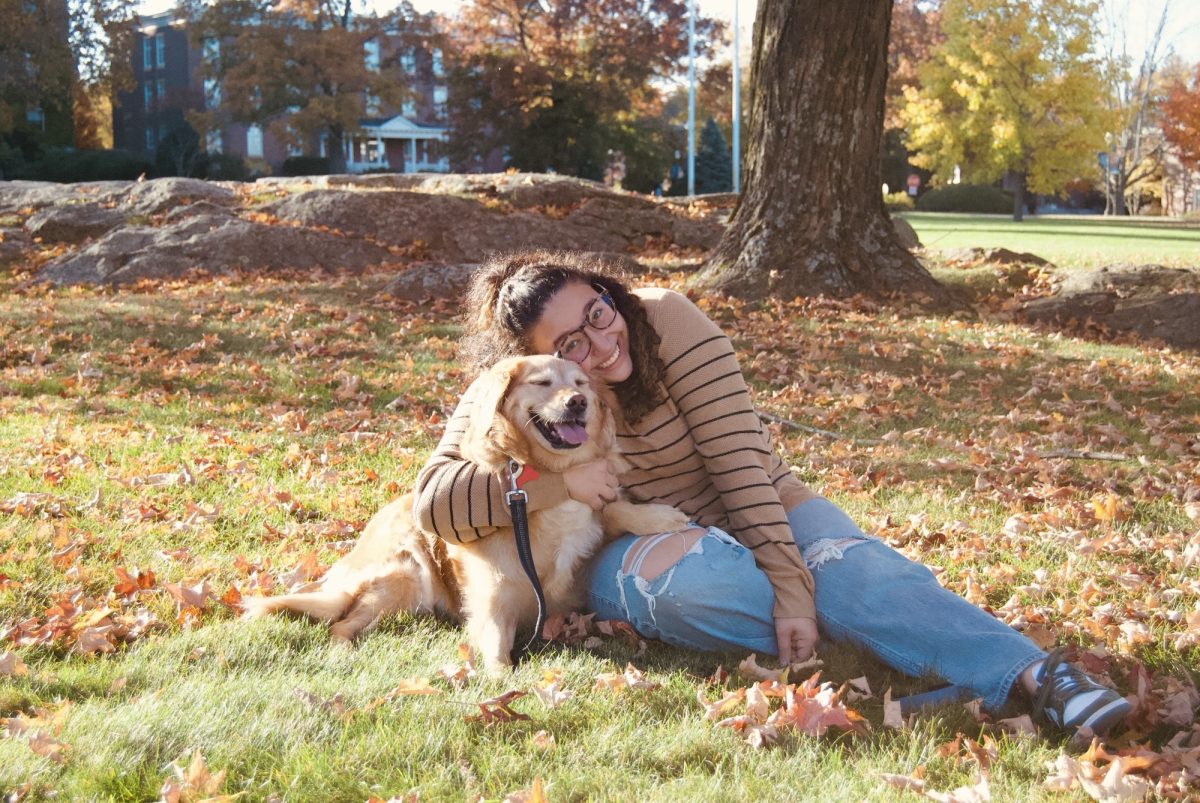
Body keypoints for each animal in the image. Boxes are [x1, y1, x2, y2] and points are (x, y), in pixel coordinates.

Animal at [243, 352, 691, 667]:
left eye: (580, 383)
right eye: (542, 382)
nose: (579, 402)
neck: (550, 475)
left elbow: (613, 510)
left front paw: (659, 517)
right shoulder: (492, 594)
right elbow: (496, 651)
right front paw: (504, 684)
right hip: (404, 573)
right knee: (341, 625)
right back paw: (343, 653)